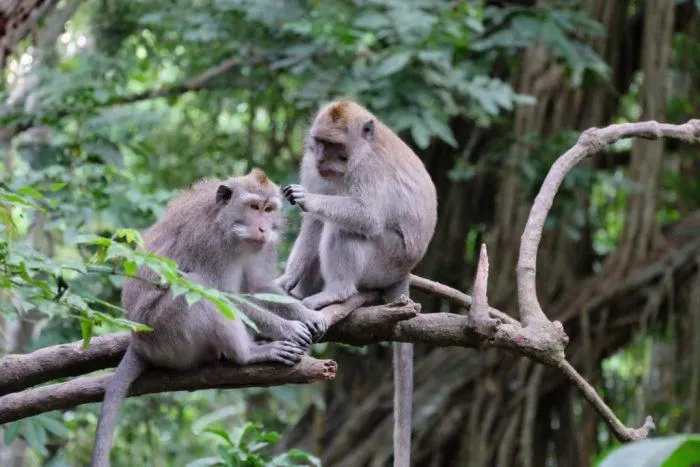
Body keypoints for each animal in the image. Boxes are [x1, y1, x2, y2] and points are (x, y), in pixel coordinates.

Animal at [89, 169, 326, 467]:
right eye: (253, 207)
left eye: (269, 209)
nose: (263, 229)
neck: (230, 229)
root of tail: (138, 341)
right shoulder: (208, 242)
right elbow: (221, 294)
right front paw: (287, 328)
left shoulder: (264, 247)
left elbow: (259, 285)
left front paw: (307, 314)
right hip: (166, 337)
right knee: (197, 286)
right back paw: (248, 354)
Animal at [276, 100, 434, 466]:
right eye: (319, 143)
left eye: (335, 146)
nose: (322, 160)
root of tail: (404, 272)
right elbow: (313, 221)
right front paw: (285, 281)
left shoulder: (369, 170)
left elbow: (365, 216)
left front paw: (309, 199)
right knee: (327, 224)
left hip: (385, 261)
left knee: (347, 227)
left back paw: (336, 293)